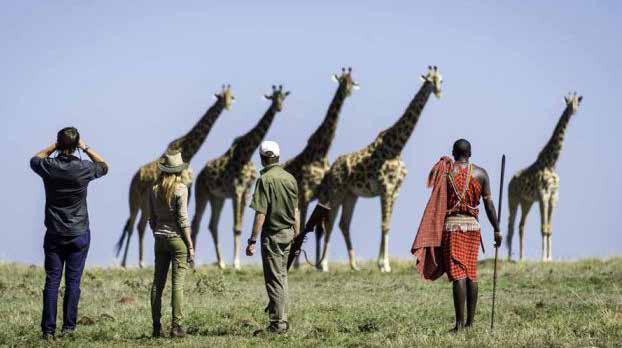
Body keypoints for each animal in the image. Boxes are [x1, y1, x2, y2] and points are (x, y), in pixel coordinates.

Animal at [116, 85, 235, 268]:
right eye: (223, 97)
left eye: (232, 97)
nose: (228, 106)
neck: (187, 150)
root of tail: (134, 178)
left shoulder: (188, 188)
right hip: (134, 199)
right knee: (131, 225)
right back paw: (125, 263)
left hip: (145, 203)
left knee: (140, 226)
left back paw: (140, 262)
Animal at [193, 84, 290, 270]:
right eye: (273, 97)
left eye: (283, 97)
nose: (279, 107)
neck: (246, 154)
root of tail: (200, 175)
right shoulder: (236, 191)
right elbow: (236, 227)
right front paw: (236, 263)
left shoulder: (246, 192)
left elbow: (240, 226)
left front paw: (235, 263)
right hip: (202, 193)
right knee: (196, 223)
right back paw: (193, 264)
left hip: (217, 198)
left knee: (212, 225)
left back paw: (221, 263)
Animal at [284, 66, 358, 266]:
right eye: (342, 81)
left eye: (352, 81)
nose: (348, 91)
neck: (321, 152)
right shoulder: (306, 194)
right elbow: (304, 225)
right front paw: (298, 264)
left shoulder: (323, 194)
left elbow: (319, 229)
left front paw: (318, 264)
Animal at [316, 65, 444, 272]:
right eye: (430, 80)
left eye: (441, 80)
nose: (439, 92)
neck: (397, 147)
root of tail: (331, 170)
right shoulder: (386, 188)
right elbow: (384, 224)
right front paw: (384, 265)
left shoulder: (395, 191)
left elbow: (387, 224)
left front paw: (382, 263)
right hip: (336, 192)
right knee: (330, 223)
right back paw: (323, 265)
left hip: (351, 195)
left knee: (344, 224)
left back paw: (354, 265)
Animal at [508, 92, 584, 260]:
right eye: (568, 103)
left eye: (578, 102)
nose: (574, 111)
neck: (551, 162)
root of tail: (510, 180)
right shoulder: (543, 195)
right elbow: (543, 228)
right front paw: (543, 258)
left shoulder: (554, 196)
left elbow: (549, 229)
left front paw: (550, 258)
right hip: (513, 199)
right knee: (510, 225)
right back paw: (509, 257)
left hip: (527, 202)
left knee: (521, 225)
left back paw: (521, 258)